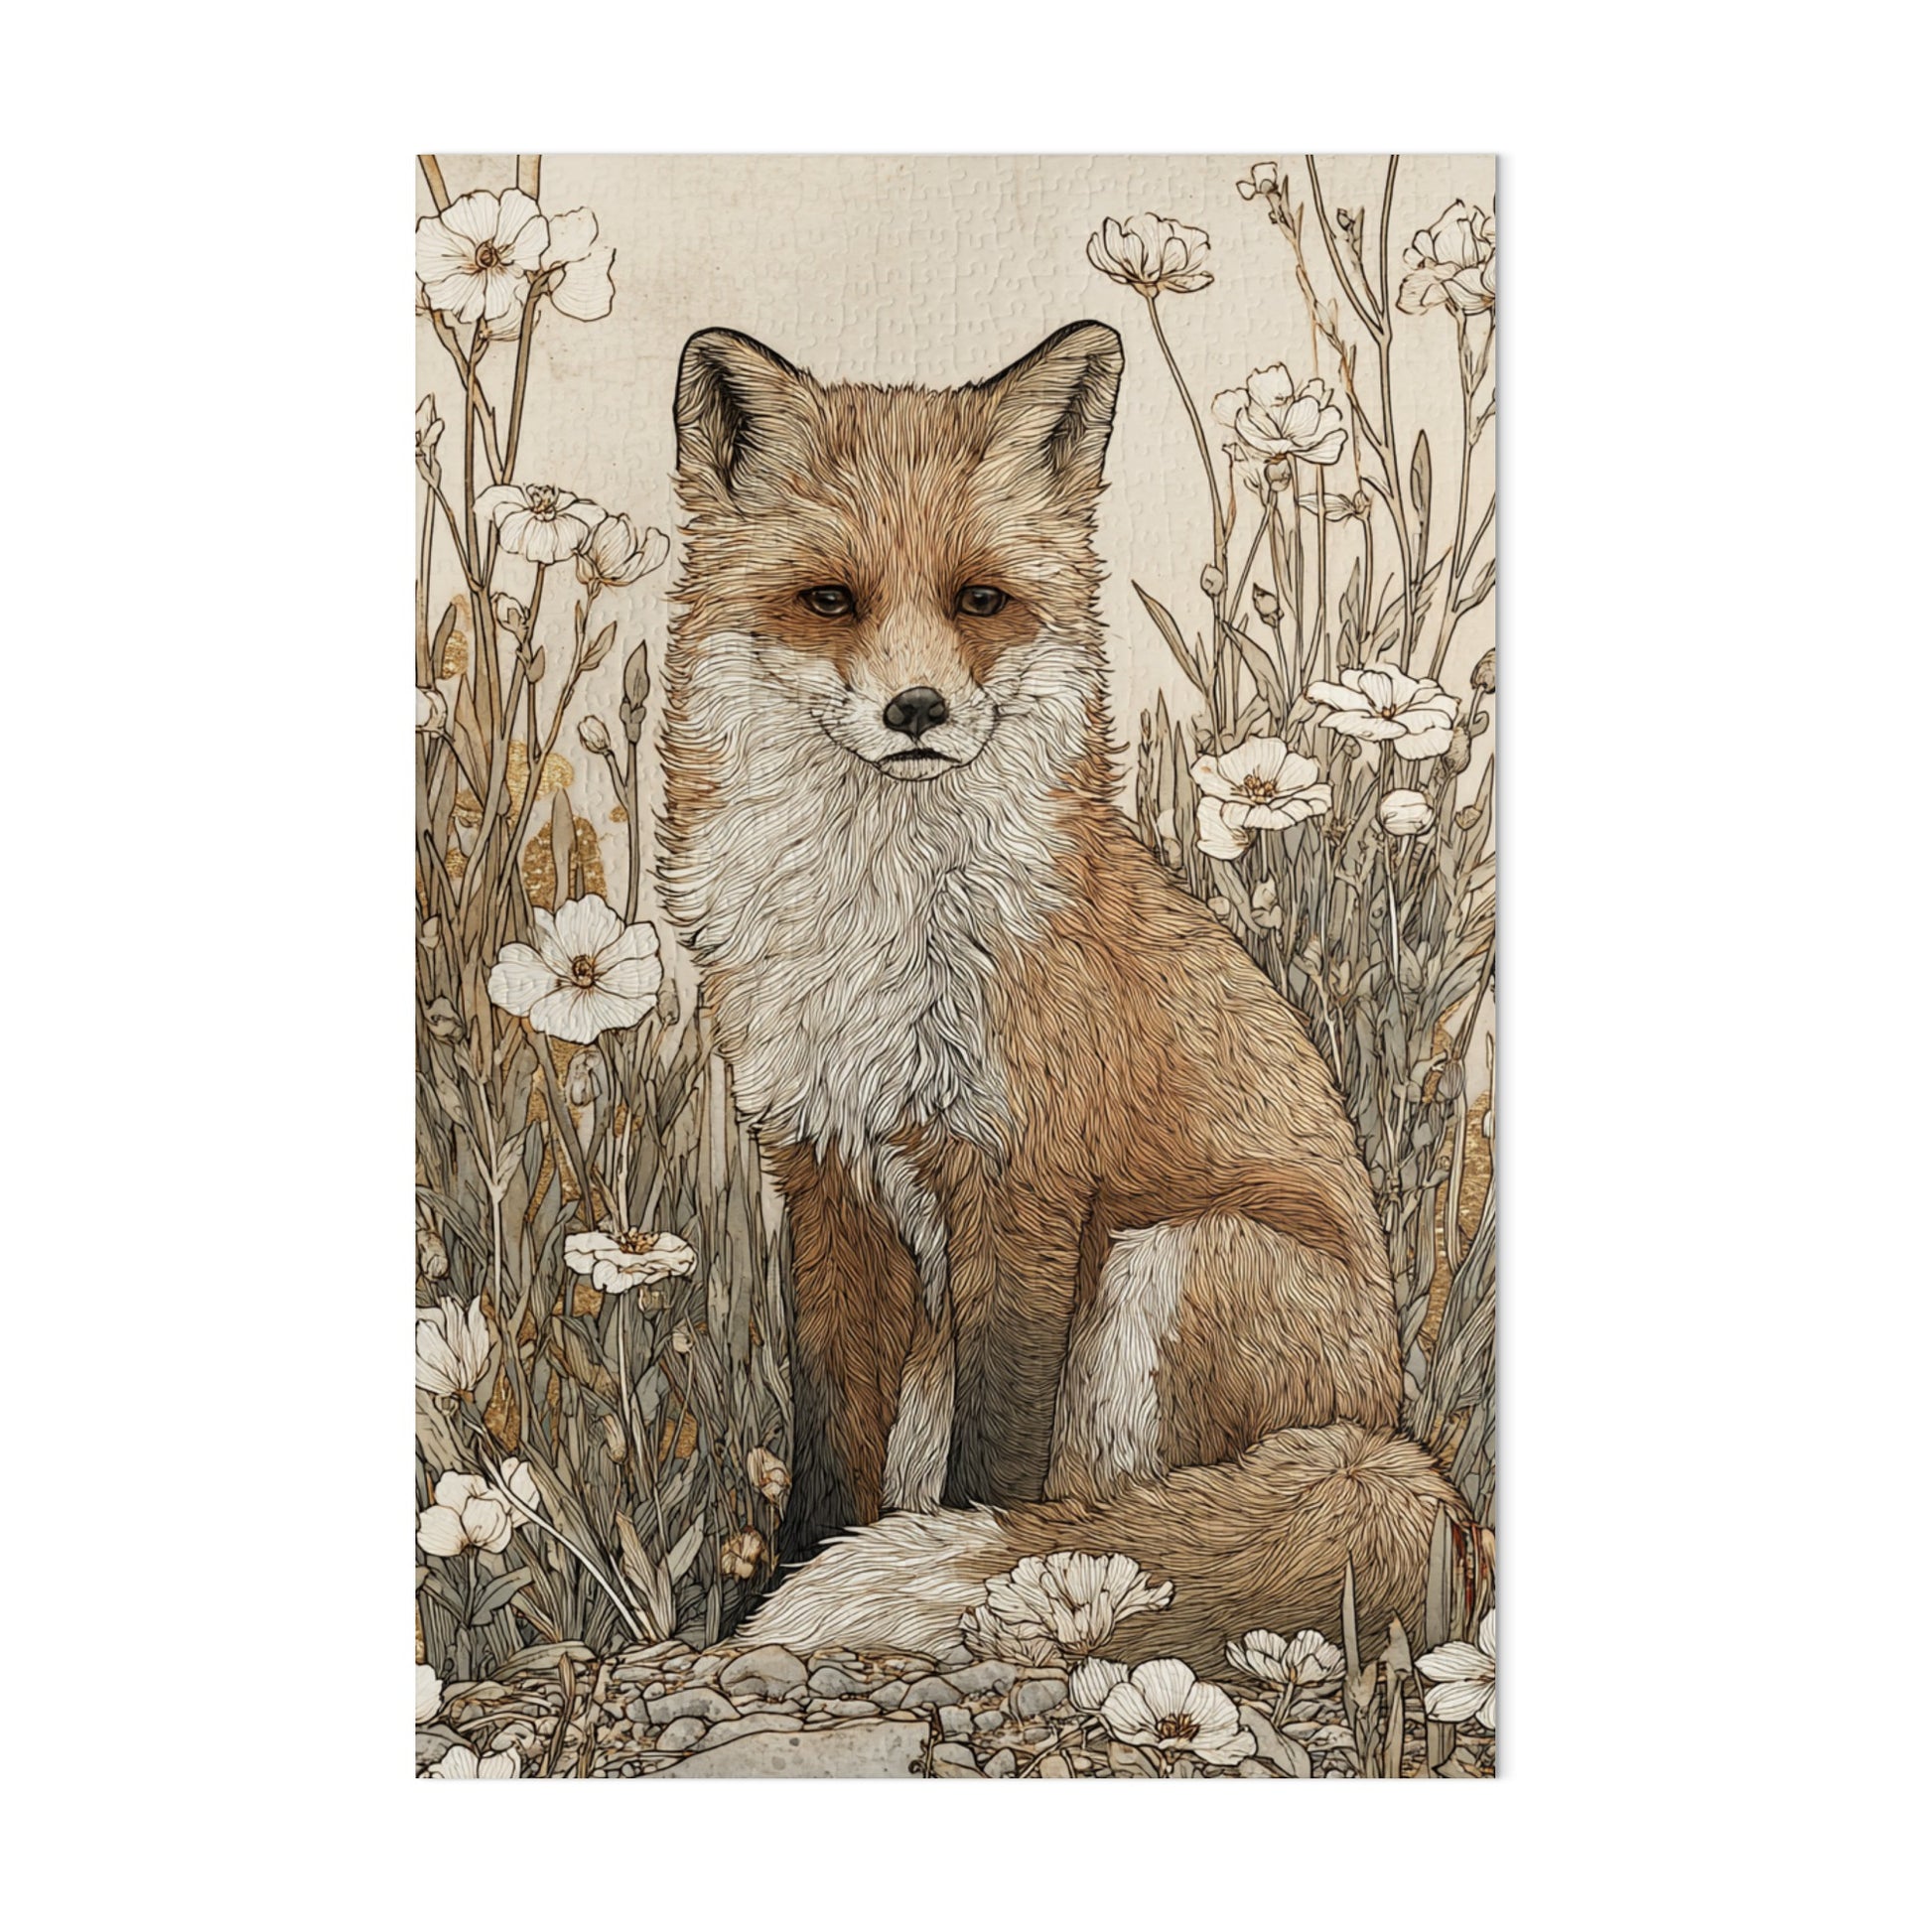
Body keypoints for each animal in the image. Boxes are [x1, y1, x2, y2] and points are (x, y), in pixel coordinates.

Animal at [657, 319, 1470, 1674]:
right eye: (829, 600)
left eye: (979, 599)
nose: (916, 710)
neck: (877, 921)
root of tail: (1388, 1433)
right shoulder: (821, 1172)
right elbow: (828, 1434)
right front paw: (778, 1589)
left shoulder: (1022, 1174)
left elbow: (998, 1454)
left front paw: (972, 1582)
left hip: (1169, 1256)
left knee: (1125, 1514)